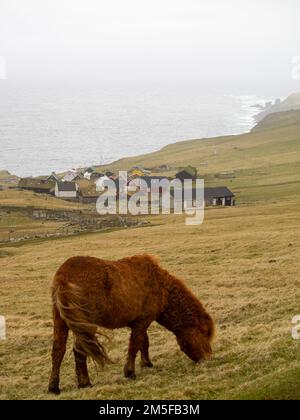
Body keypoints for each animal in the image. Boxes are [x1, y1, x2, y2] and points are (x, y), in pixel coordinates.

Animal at [48, 254, 214, 396]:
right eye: (205, 333)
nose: (208, 358)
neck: (161, 286)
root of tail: (64, 276)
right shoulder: (142, 321)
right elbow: (135, 345)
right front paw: (130, 372)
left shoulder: (140, 322)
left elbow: (143, 343)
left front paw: (146, 363)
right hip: (86, 325)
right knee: (79, 350)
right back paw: (85, 383)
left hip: (61, 321)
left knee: (58, 350)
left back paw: (54, 387)